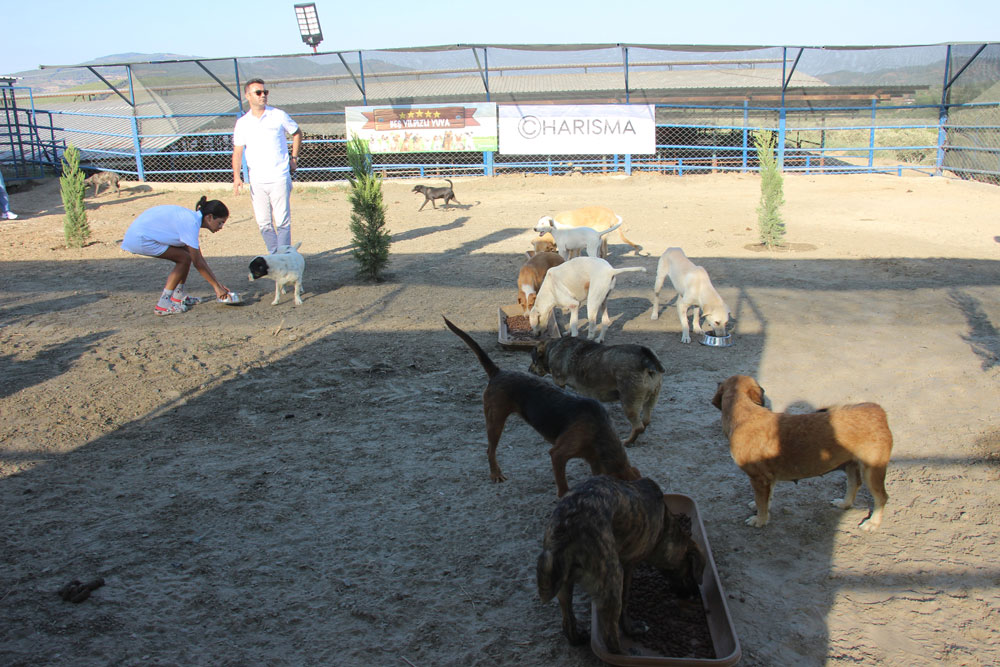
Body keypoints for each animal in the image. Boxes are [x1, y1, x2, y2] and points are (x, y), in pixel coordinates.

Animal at [532, 336, 664, 446]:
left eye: (533, 361)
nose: (529, 370)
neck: (552, 348)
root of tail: (645, 356)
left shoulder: (559, 383)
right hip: (652, 399)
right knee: (645, 421)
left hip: (629, 403)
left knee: (638, 427)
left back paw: (627, 441)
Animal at [540, 478, 704, 656]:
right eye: (691, 573)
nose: (696, 594)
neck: (665, 529)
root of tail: (568, 524)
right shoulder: (628, 566)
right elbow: (625, 601)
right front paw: (630, 628)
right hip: (613, 580)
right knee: (610, 636)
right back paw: (624, 653)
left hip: (562, 584)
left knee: (568, 621)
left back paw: (577, 638)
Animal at [708, 376, 896, 532]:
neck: (745, 413)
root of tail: (878, 411)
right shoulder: (768, 478)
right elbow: (767, 498)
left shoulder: (759, 478)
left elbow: (762, 503)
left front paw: (760, 520)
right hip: (850, 464)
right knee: (854, 484)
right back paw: (844, 503)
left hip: (872, 471)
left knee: (882, 497)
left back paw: (873, 523)